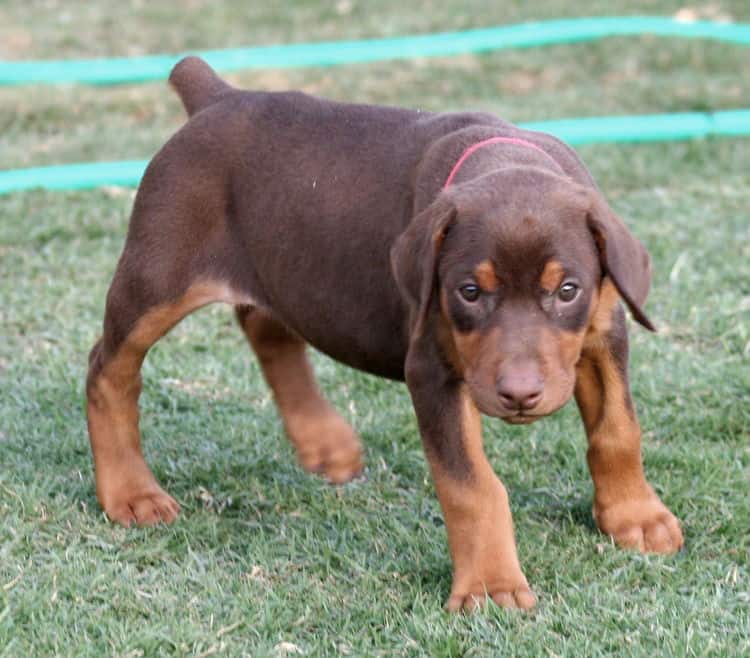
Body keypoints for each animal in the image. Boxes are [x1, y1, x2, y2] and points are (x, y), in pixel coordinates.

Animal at [85, 56, 684, 608]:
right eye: (469, 292)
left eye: (567, 290)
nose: (519, 396)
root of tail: (216, 95)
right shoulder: (432, 370)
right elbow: (471, 485)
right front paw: (490, 586)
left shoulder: (604, 334)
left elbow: (617, 430)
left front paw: (635, 516)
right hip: (157, 277)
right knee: (108, 369)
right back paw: (131, 493)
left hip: (289, 272)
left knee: (266, 326)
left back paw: (324, 440)